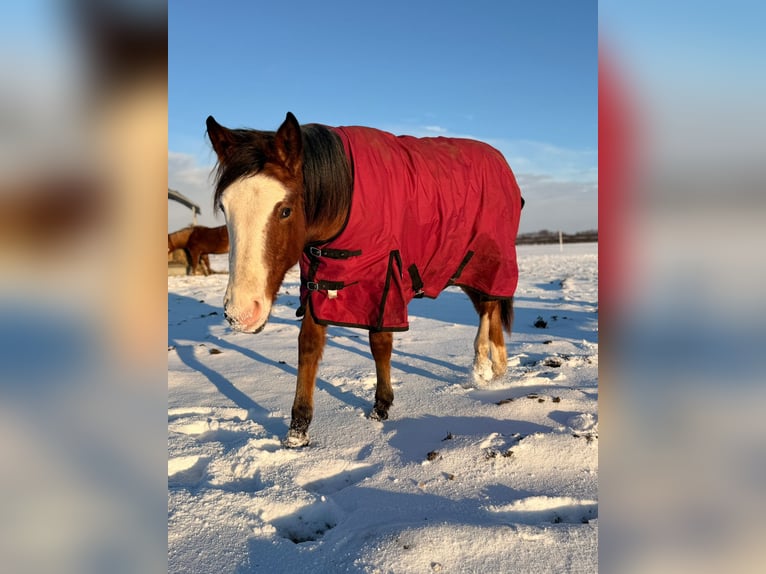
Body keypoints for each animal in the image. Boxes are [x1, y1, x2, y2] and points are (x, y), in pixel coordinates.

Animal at [207, 112, 523, 448]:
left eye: (285, 210)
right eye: (224, 208)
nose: (241, 314)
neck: (345, 199)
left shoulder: (384, 281)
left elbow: (380, 343)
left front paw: (381, 406)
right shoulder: (320, 283)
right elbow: (308, 346)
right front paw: (298, 430)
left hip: (487, 260)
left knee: (489, 306)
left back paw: (482, 367)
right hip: (462, 267)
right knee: (489, 307)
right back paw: (497, 367)